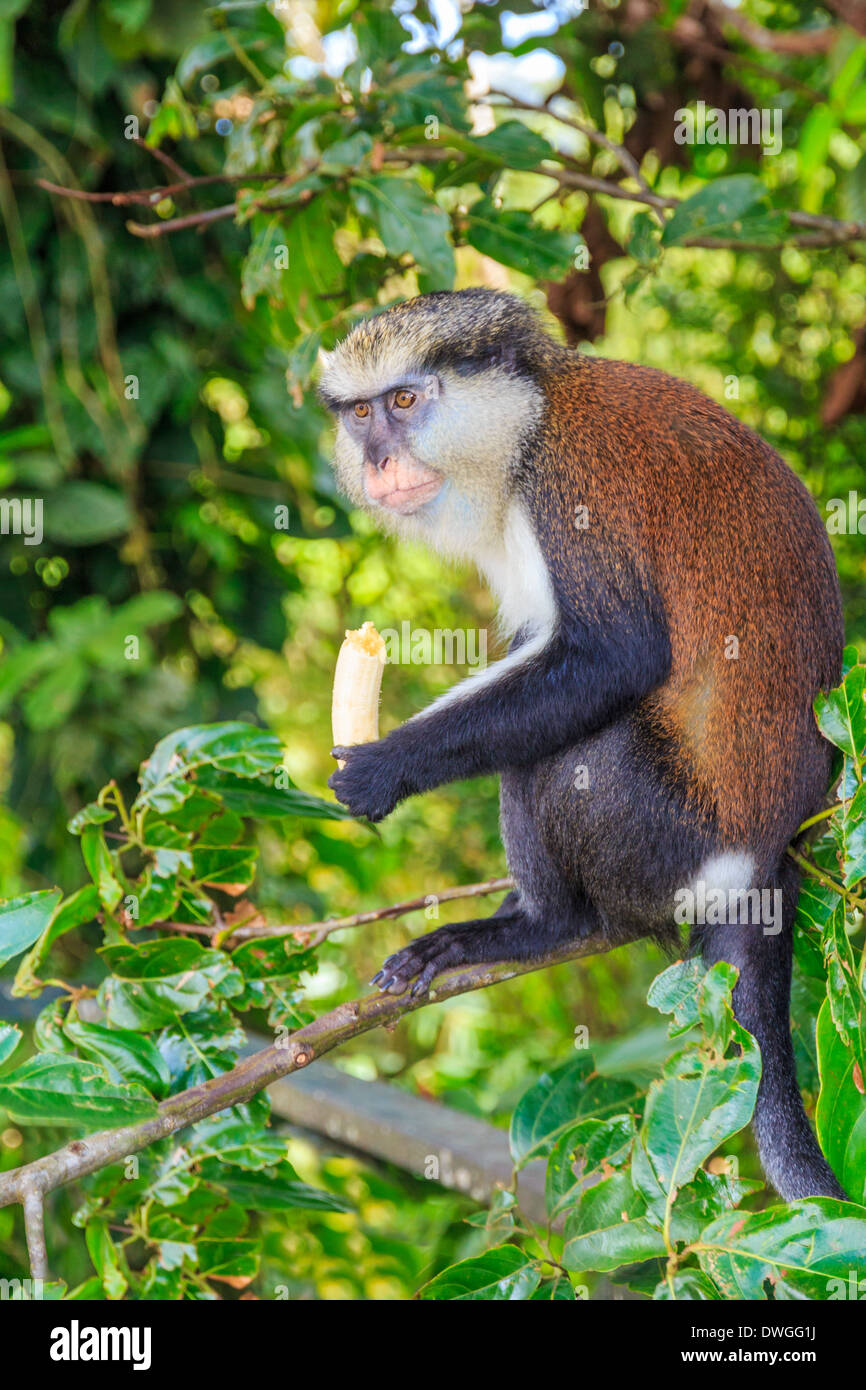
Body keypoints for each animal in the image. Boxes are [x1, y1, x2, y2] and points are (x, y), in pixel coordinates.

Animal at [318, 287, 845, 1200]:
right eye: (358, 414)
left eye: (406, 401)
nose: (378, 460)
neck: (526, 424)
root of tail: (767, 865)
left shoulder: (569, 489)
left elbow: (612, 658)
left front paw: (387, 766)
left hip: (671, 844)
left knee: (562, 761)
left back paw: (541, 926)